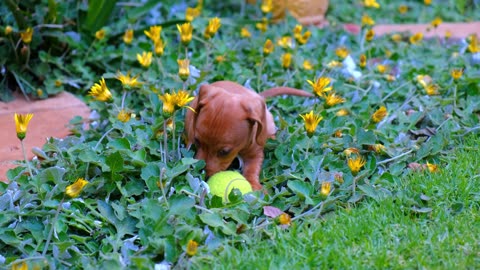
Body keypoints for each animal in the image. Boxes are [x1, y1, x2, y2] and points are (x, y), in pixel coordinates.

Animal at [184, 80, 312, 190]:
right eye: (197, 141)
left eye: (224, 152)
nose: (201, 173)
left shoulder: (255, 154)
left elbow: (252, 169)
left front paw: (254, 186)